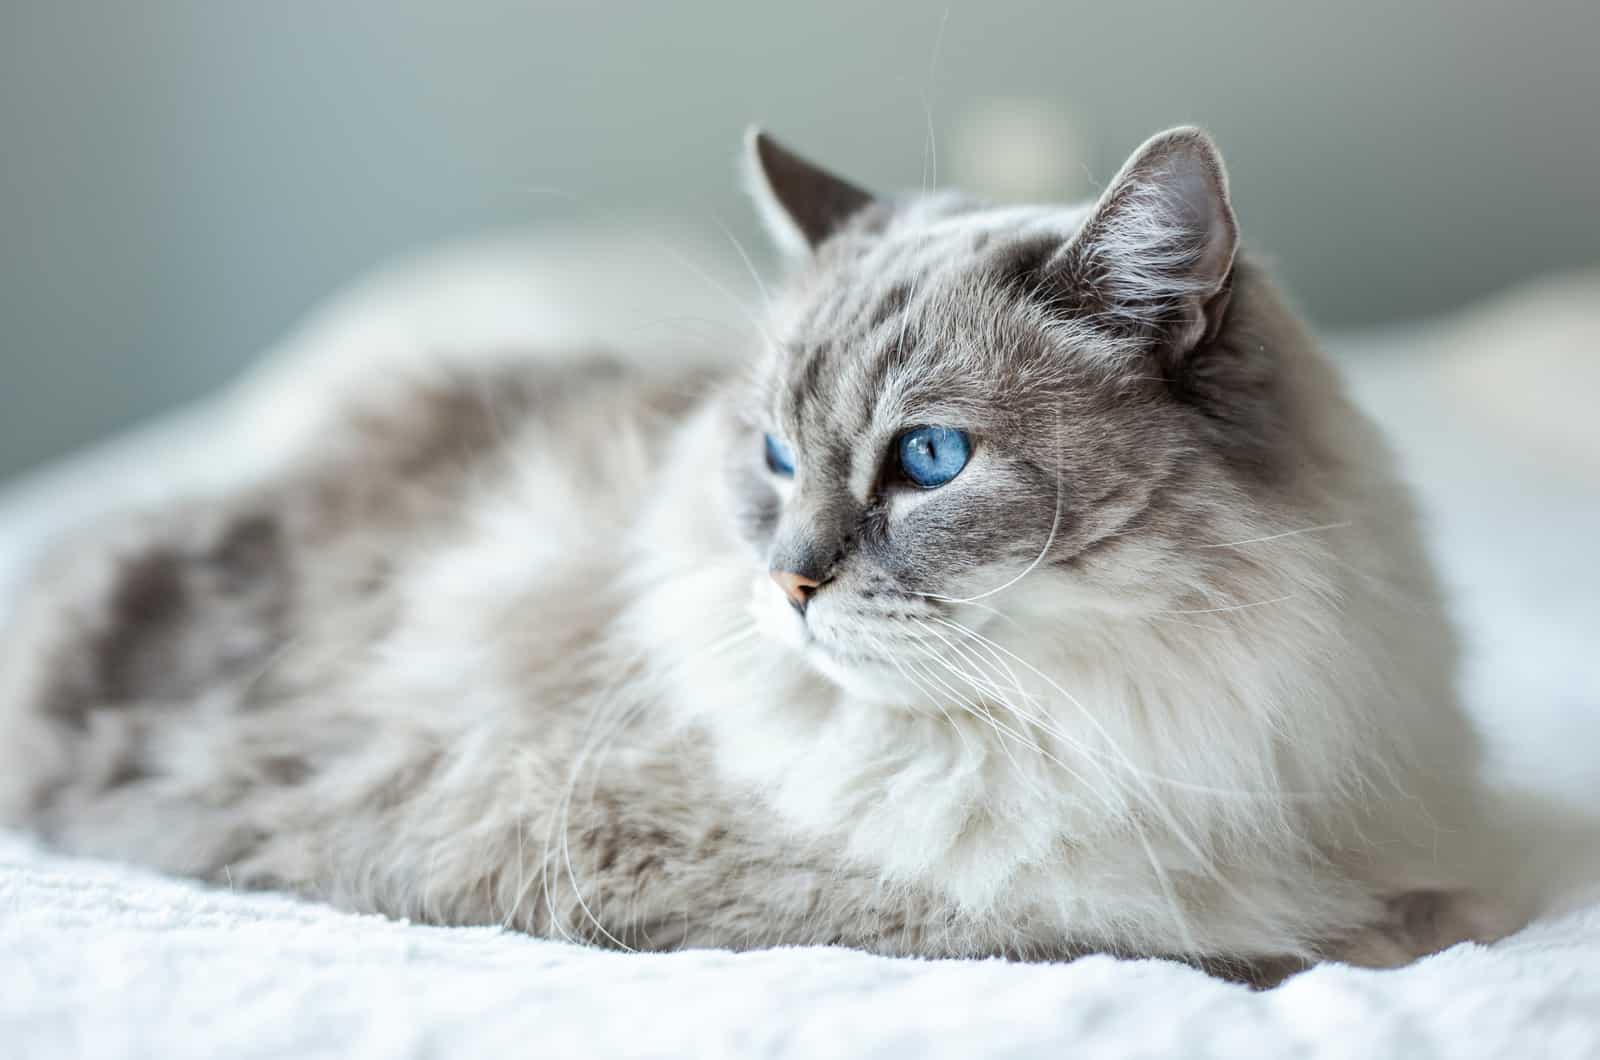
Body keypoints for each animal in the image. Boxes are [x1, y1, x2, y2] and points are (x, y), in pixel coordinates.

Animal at [0, 126, 1516, 986]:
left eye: (928, 461)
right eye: (777, 455)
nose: (788, 583)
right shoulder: (904, 893)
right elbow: (1247, 932)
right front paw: (1387, 932)